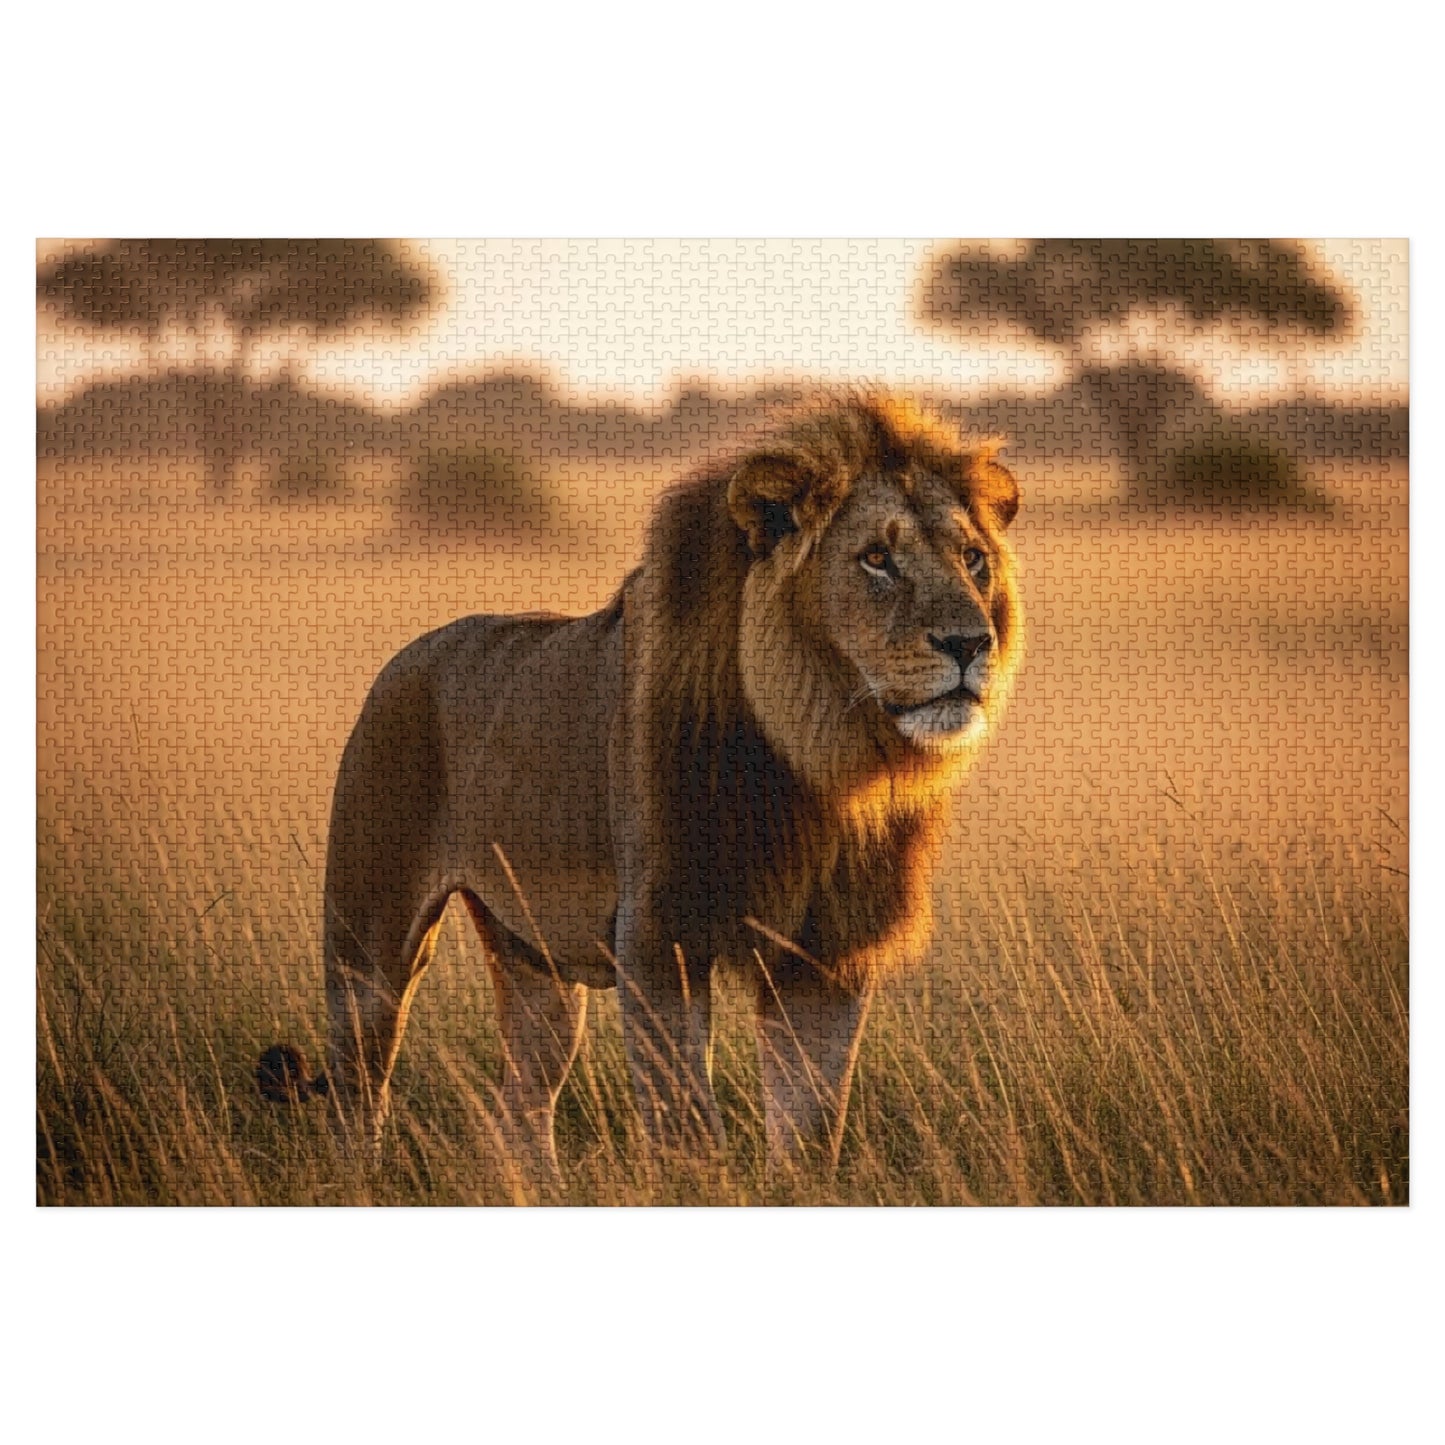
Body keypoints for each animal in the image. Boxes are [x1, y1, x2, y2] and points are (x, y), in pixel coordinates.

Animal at [260, 391, 1022, 1176]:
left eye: (973, 559)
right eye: (876, 558)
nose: (970, 643)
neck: (821, 763)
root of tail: (403, 658)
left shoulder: (829, 949)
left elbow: (812, 1123)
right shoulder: (659, 933)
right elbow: (686, 1118)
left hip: (535, 960)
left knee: (521, 1103)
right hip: (368, 943)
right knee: (358, 1091)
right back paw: (362, 1176)